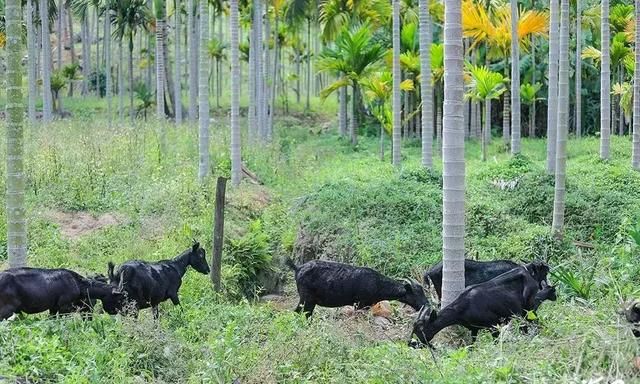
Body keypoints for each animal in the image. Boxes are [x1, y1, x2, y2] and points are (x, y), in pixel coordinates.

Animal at [286, 258, 428, 318]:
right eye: (416, 293)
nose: (426, 305)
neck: (378, 283)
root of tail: (298, 268)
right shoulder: (360, 304)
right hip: (307, 299)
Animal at [412, 262, 548, 346]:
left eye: (421, 328)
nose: (414, 343)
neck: (463, 307)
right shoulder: (474, 329)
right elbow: (471, 346)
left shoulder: (493, 326)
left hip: (528, 307)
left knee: (532, 321)